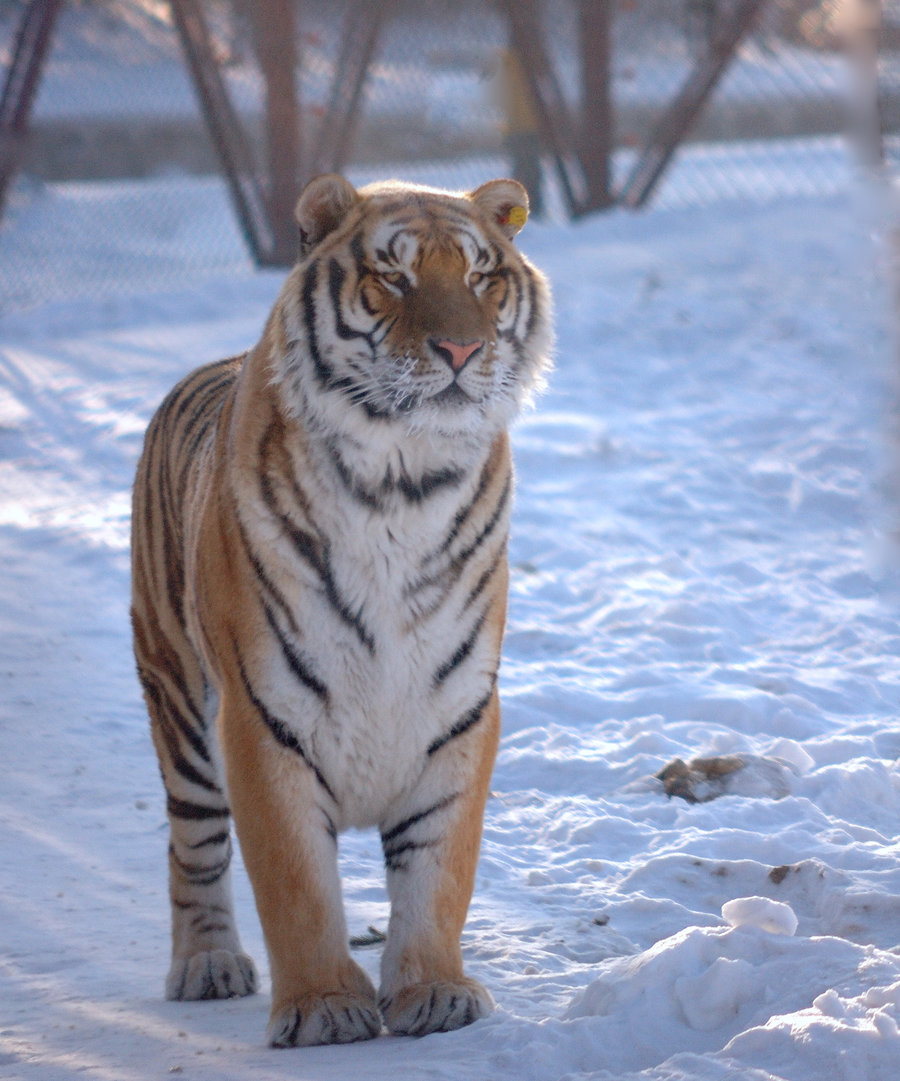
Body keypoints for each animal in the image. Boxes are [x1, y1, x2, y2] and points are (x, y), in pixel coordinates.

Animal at [129, 175, 551, 1046]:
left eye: (481, 276)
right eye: (393, 276)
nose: (461, 351)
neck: (404, 484)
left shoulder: (458, 708)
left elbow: (437, 871)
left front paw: (435, 992)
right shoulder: (262, 715)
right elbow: (297, 881)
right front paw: (324, 1006)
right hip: (178, 699)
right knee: (194, 842)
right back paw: (207, 964)